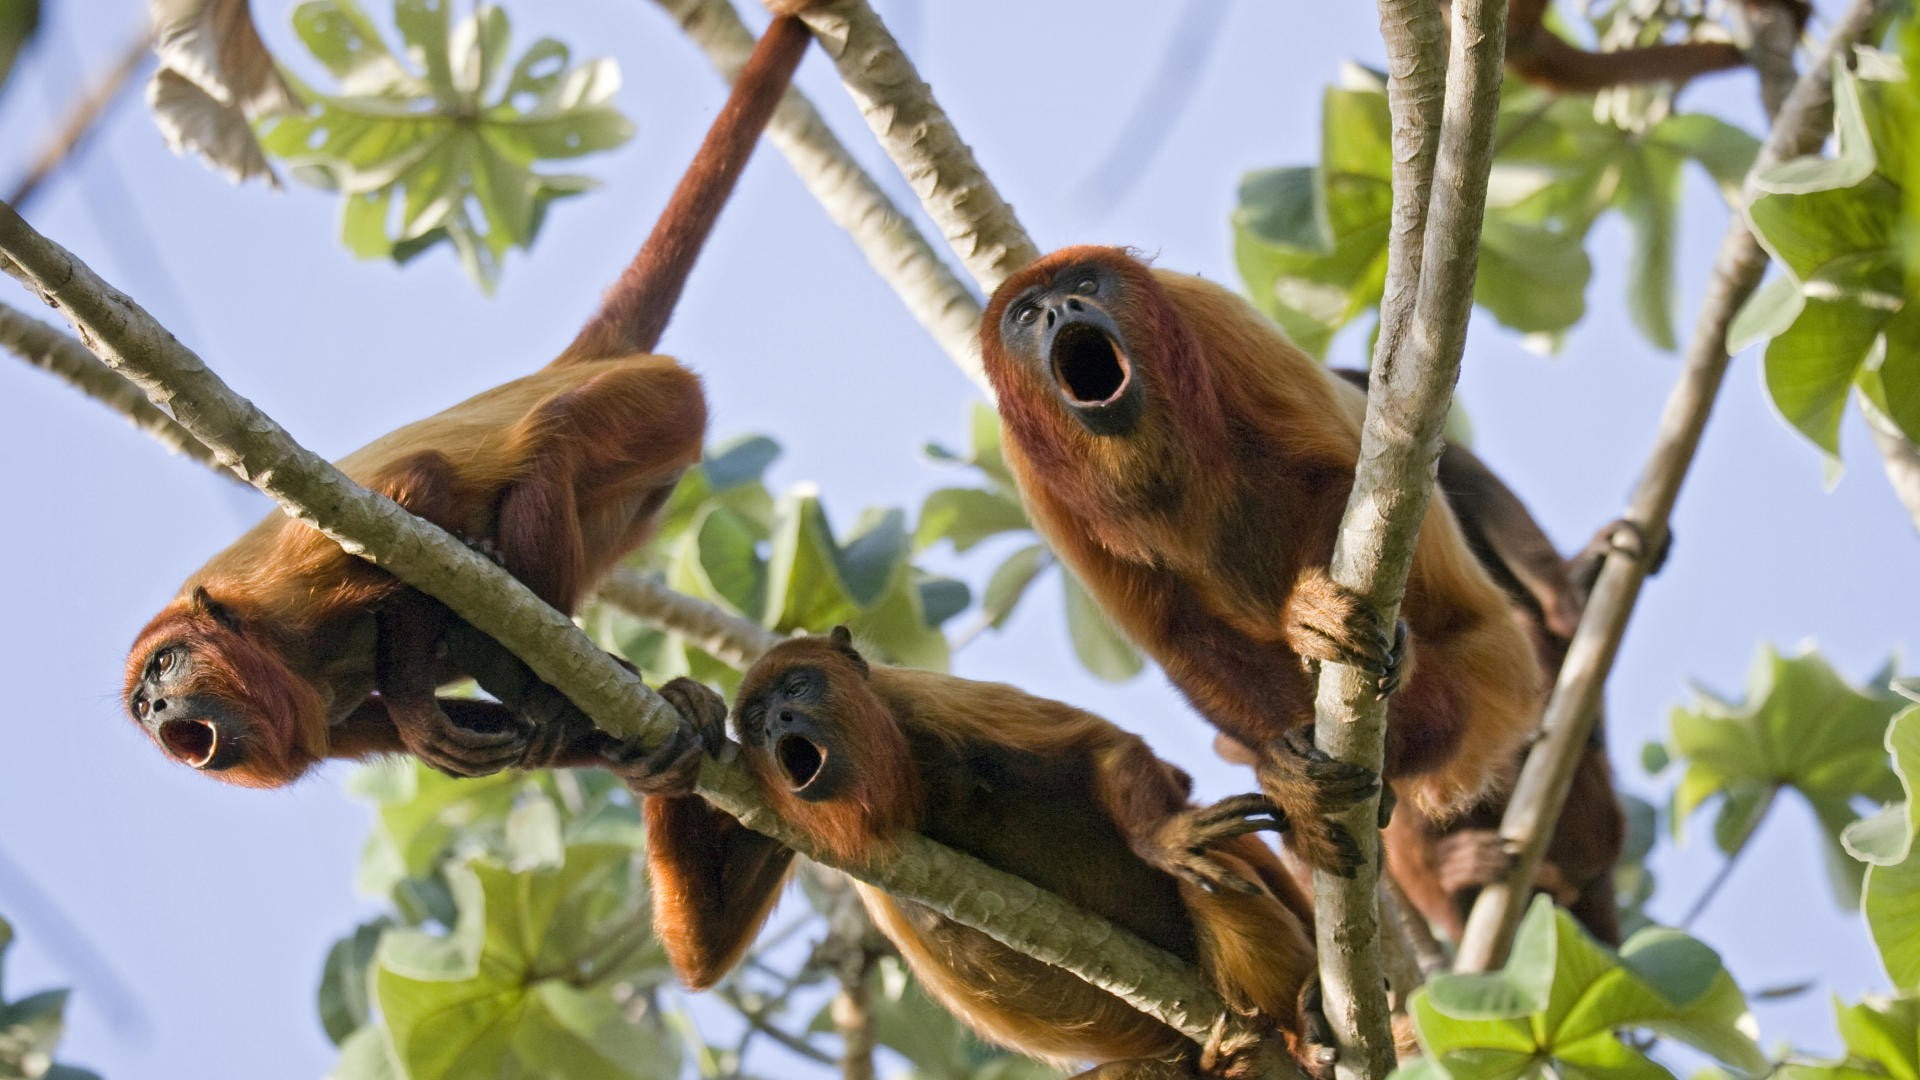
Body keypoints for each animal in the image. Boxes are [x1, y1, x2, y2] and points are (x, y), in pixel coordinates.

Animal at [121, 10, 823, 788]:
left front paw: (414, 702)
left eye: (165, 665)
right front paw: (667, 724)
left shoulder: (283, 583)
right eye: (141, 703)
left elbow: (417, 494)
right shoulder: (317, 718)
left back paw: (535, 671)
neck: (268, 645)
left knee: (555, 437)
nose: (156, 709)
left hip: (660, 400)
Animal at [634, 628, 1325, 1078]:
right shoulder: (765, 794)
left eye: (797, 687)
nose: (778, 722)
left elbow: (1116, 751)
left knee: (1216, 880)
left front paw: (1166, 836)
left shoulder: (926, 699)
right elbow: (705, 953)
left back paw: (1298, 1030)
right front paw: (681, 718)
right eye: (753, 722)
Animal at [978, 246, 1544, 878]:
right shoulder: (1033, 475)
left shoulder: (1216, 319)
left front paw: (1313, 613)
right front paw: (1286, 771)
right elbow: (1178, 632)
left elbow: (1341, 480)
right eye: (1027, 315)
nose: (1063, 309)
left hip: (1487, 680)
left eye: (1085, 283)